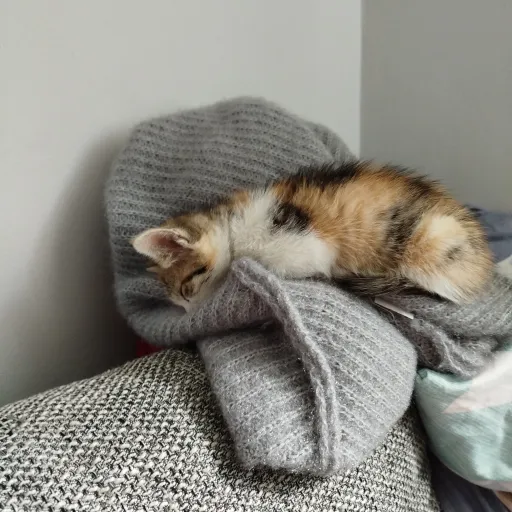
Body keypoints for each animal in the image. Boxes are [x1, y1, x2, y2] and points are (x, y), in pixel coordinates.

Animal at [131, 161, 493, 312]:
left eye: (186, 292)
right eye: (179, 302)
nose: (190, 316)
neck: (233, 228)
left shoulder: (303, 245)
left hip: (428, 247)